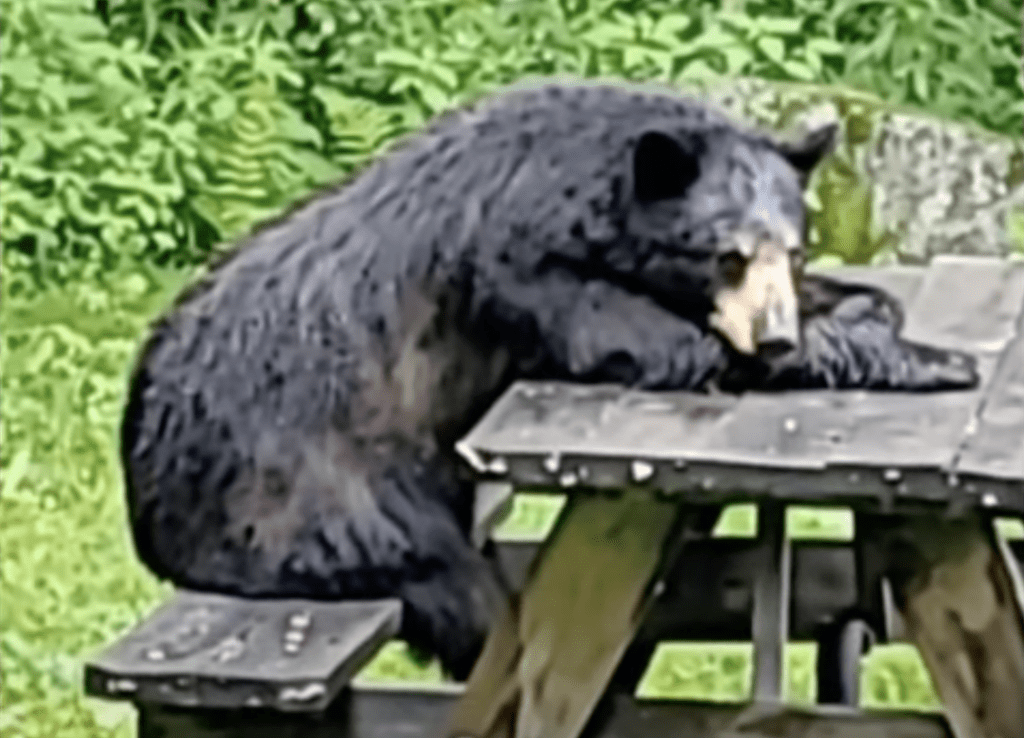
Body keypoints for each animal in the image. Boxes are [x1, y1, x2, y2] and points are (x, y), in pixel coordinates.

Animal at [121, 79, 979, 680]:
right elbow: (664, 346)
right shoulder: (524, 272)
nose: (772, 338)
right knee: (450, 581)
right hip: (314, 488)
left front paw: (865, 306)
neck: (580, 185)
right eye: (725, 254)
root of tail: (147, 500)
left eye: (791, 250)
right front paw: (933, 358)